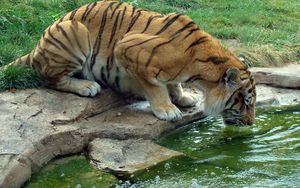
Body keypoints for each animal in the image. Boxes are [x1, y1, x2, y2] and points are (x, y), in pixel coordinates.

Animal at [5, 0, 255, 125]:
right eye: (246, 101)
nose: (251, 123)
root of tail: (36, 46)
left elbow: (174, 83)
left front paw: (183, 97)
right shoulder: (128, 49)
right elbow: (155, 87)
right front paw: (167, 110)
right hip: (73, 31)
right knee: (49, 77)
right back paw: (87, 86)